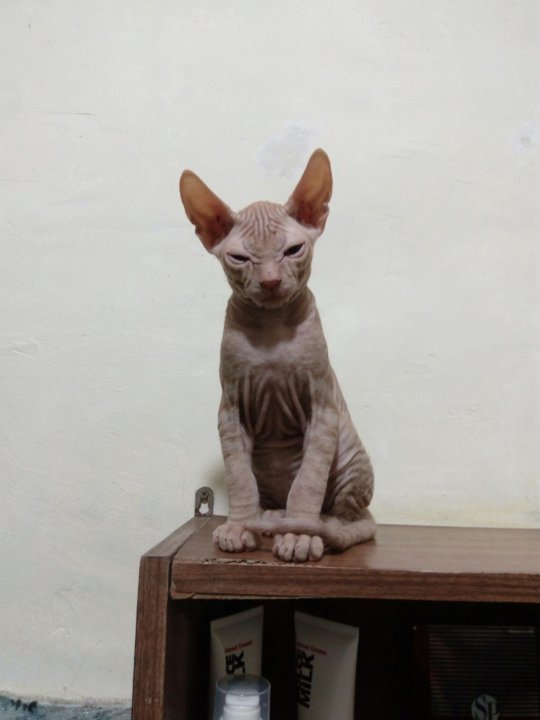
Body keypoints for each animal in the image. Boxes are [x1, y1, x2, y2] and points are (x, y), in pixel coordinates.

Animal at [179, 149, 375, 562]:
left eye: (293, 250)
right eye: (240, 258)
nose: (269, 281)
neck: (270, 328)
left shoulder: (323, 408)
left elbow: (308, 482)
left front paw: (300, 534)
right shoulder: (230, 412)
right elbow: (239, 478)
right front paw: (239, 526)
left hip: (351, 457)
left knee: (353, 517)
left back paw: (312, 524)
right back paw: (268, 517)